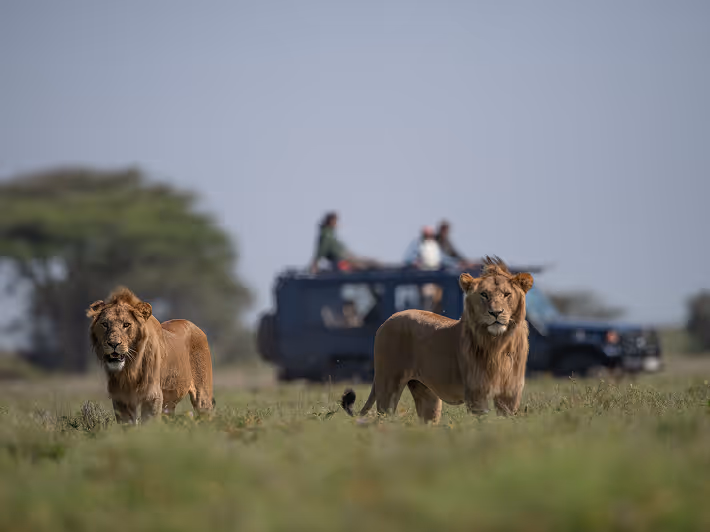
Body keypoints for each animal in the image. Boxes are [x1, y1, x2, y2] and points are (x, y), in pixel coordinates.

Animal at [87, 287, 214, 424]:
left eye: (126, 324)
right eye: (105, 324)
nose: (113, 344)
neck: (130, 368)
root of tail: (196, 327)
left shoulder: (152, 395)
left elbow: (149, 425)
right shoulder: (120, 398)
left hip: (202, 396)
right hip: (169, 403)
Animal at [341, 256, 533, 422]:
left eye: (507, 294)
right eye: (484, 295)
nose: (496, 313)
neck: (498, 343)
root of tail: (387, 320)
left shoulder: (510, 394)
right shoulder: (477, 393)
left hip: (427, 395)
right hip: (388, 384)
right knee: (382, 417)